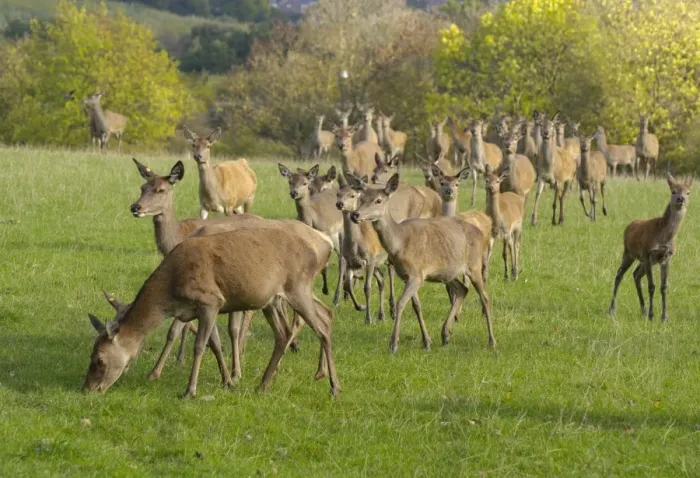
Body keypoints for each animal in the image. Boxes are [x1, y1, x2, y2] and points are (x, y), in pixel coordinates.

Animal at [84, 225, 340, 398]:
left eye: (99, 359)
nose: (88, 388)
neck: (171, 292)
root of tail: (322, 248)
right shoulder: (202, 309)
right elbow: (214, 343)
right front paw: (228, 382)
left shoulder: (210, 300)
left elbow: (199, 346)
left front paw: (190, 390)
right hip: (271, 300)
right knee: (286, 332)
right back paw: (264, 384)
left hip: (298, 287)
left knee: (321, 327)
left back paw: (334, 386)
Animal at [350, 174, 496, 352]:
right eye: (361, 198)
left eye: (378, 200)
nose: (355, 215)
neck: (400, 243)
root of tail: (481, 233)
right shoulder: (409, 276)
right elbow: (416, 306)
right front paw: (426, 341)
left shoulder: (416, 275)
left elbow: (401, 303)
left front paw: (393, 344)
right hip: (447, 272)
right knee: (463, 289)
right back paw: (445, 334)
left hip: (473, 264)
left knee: (485, 297)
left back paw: (491, 341)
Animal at [608, 174, 692, 322]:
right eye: (673, 191)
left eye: (688, 192)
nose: (681, 199)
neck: (664, 238)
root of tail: (629, 226)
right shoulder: (648, 253)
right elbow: (652, 286)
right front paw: (653, 316)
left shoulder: (667, 257)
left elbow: (664, 287)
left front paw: (664, 317)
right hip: (629, 252)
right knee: (619, 274)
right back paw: (612, 309)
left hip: (643, 260)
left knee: (636, 274)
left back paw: (643, 310)